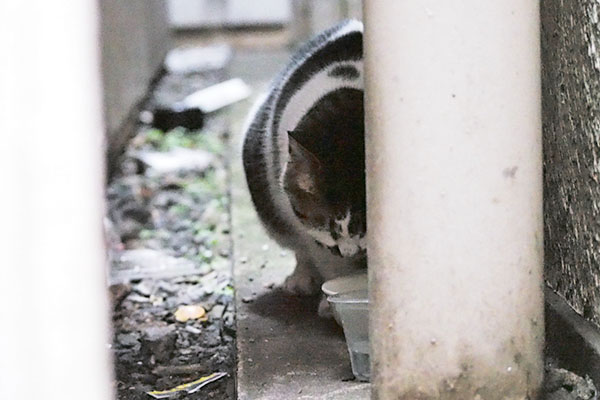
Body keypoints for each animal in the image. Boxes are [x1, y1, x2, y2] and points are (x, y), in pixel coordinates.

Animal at [243, 19, 366, 316]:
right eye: (330, 227)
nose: (350, 251)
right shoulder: (313, 235)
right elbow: (325, 260)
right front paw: (332, 306)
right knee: (300, 249)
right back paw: (300, 280)